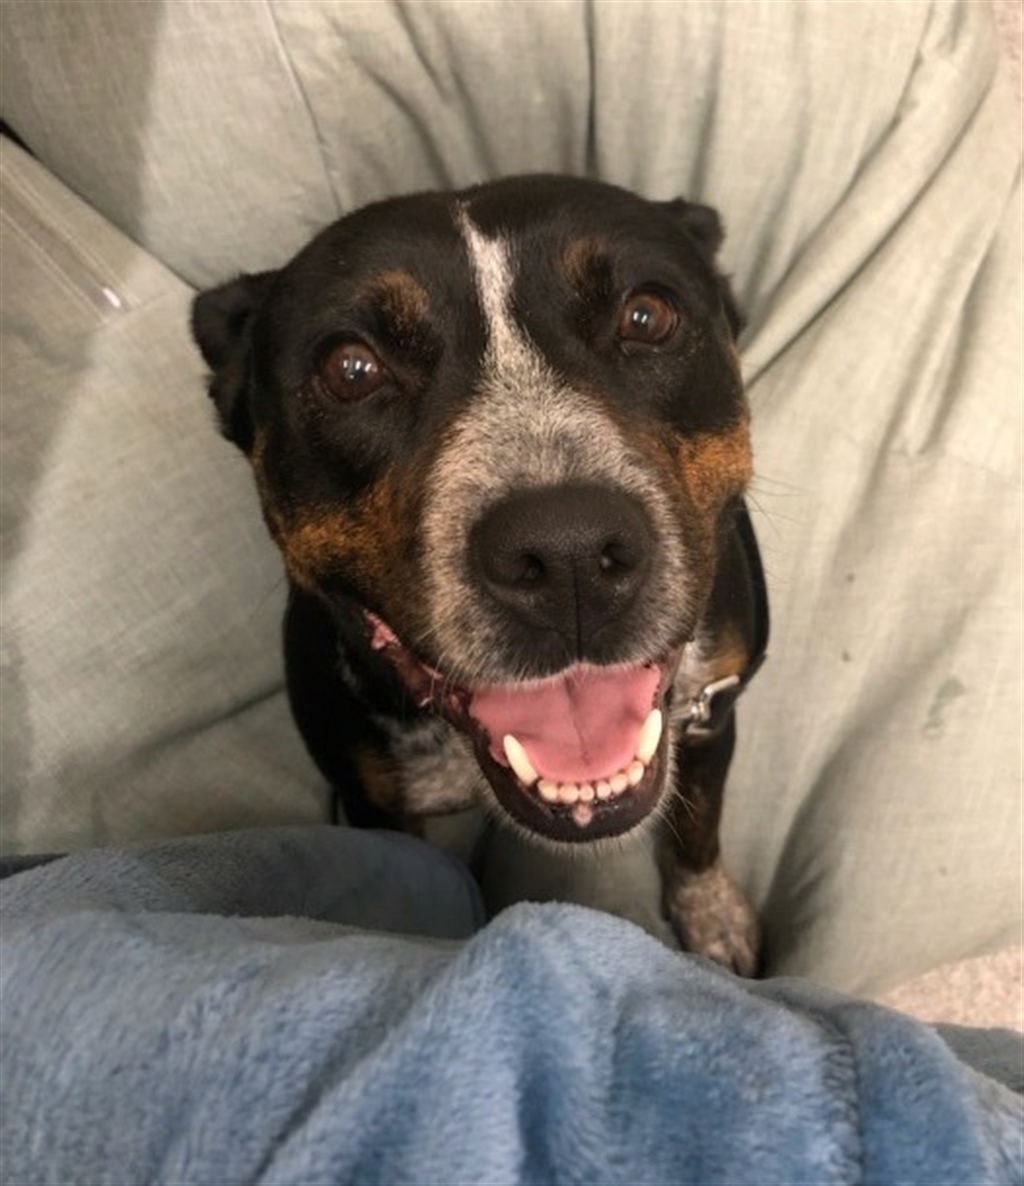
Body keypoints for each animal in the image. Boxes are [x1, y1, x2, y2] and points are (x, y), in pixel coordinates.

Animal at [192, 175, 768, 976]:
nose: (567, 553)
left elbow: (698, 827)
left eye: (648, 314)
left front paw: (713, 917)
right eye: (351, 369)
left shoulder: (715, 711)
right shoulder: (374, 803)